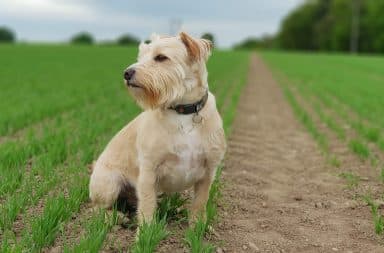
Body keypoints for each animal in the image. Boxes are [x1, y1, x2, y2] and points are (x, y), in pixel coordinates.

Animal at [89, 32, 228, 225]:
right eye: (140, 58)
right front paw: (146, 231)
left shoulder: (208, 171)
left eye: (161, 57)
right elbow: (147, 205)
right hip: (109, 184)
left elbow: (200, 202)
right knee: (97, 208)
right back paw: (116, 217)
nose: (126, 73)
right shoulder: (148, 170)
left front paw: (198, 227)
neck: (182, 112)